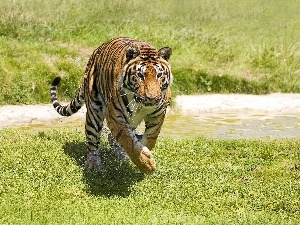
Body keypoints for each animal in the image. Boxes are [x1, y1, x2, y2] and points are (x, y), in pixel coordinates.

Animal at [49, 37, 171, 174]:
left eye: (159, 75)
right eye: (140, 75)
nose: (152, 98)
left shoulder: (158, 114)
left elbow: (151, 137)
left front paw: (145, 152)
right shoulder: (115, 115)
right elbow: (127, 140)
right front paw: (146, 164)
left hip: (130, 120)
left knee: (112, 138)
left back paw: (121, 155)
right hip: (94, 112)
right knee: (93, 141)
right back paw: (93, 164)